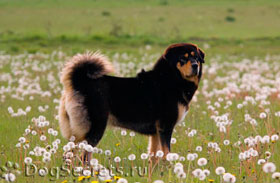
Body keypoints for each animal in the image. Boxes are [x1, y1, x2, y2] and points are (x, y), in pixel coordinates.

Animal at [59, 43, 205, 159]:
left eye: (196, 58)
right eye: (183, 58)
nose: (195, 65)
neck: (171, 79)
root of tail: (80, 81)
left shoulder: (156, 132)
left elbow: (154, 157)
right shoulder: (165, 127)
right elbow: (166, 154)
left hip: (78, 133)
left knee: (70, 154)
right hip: (95, 128)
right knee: (84, 157)